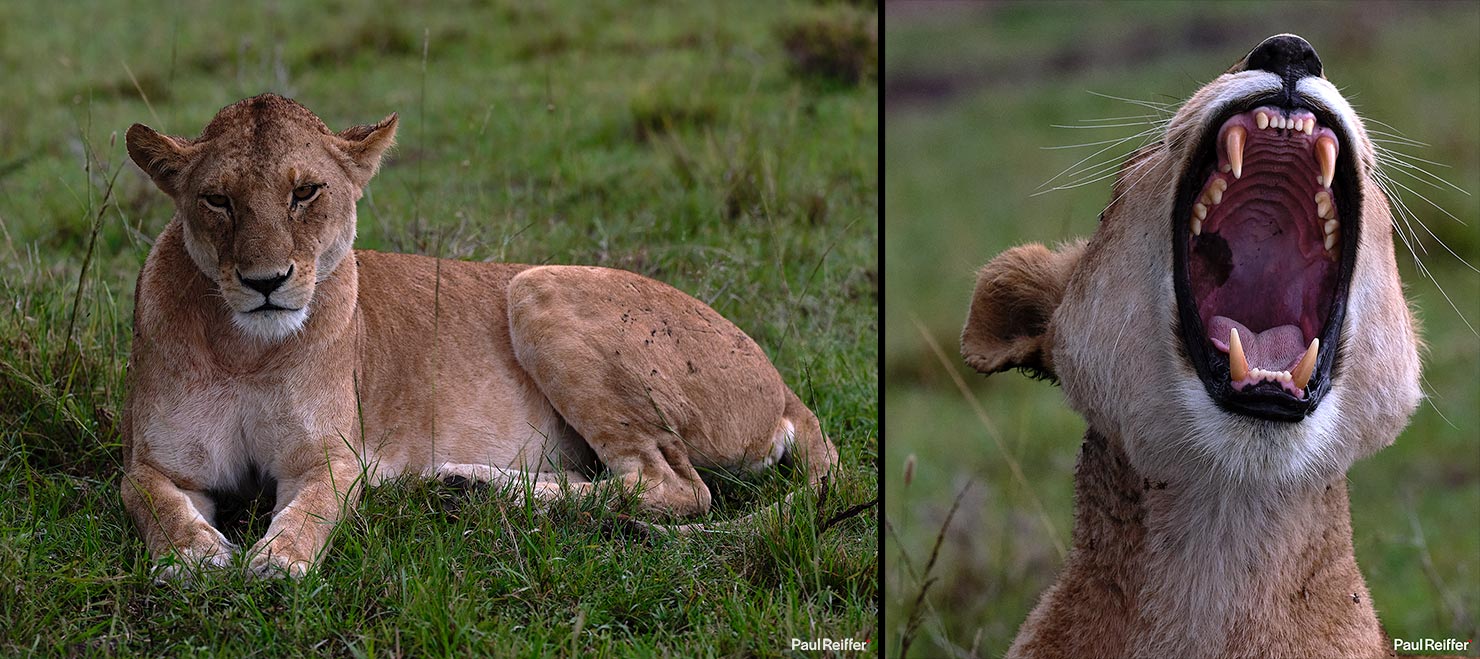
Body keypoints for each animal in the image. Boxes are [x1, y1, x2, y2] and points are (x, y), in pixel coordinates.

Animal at [120, 93, 838, 580]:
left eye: (306, 192)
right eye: (218, 200)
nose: (266, 281)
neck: (245, 348)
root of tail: (782, 384)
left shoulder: (330, 459)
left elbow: (313, 509)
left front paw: (279, 560)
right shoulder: (158, 462)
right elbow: (149, 498)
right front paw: (194, 556)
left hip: (536, 286)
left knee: (674, 485)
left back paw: (475, 487)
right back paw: (469, 487)